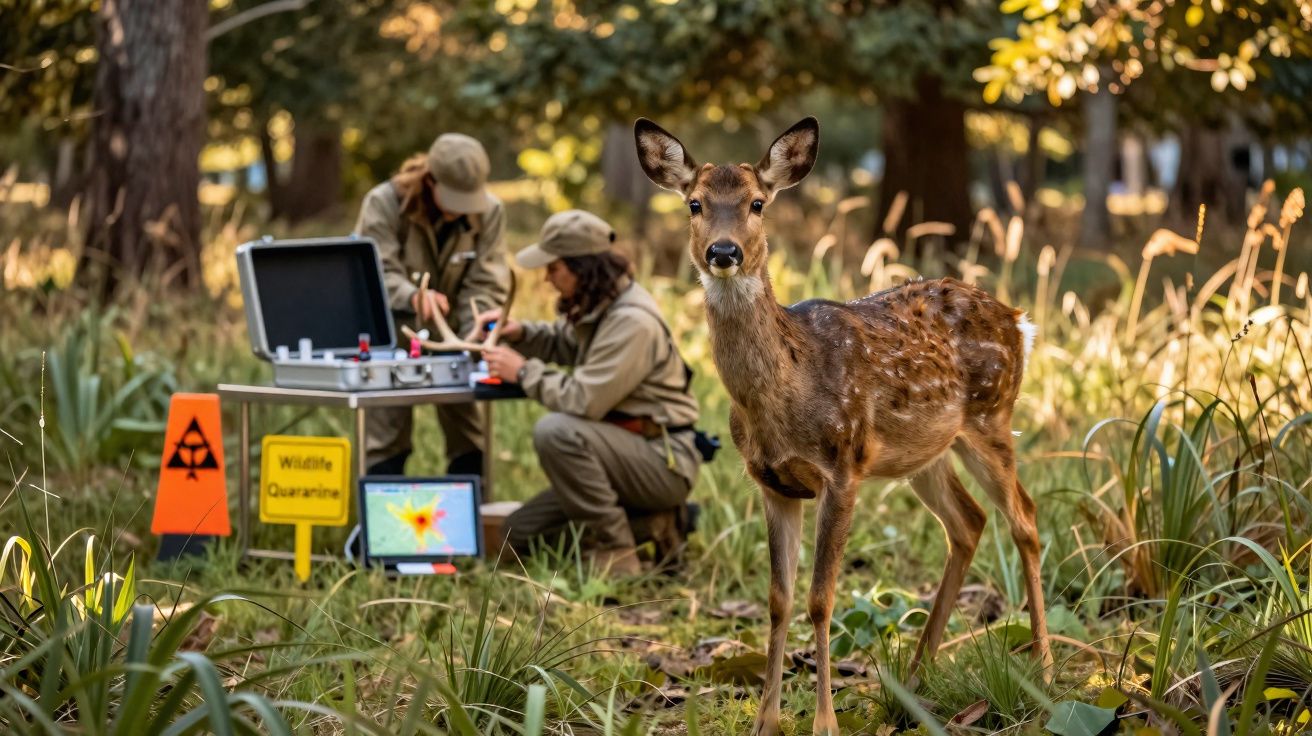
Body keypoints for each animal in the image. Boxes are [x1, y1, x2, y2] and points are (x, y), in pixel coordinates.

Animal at [634, 116, 1050, 736]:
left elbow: (820, 598)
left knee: (1024, 517)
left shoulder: (842, 467)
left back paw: (1043, 667)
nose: (724, 251)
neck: (781, 396)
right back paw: (916, 676)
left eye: (757, 203)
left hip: (991, 416)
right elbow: (779, 598)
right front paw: (766, 720)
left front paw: (824, 721)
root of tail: (1020, 321)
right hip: (925, 452)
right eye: (694, 203)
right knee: (968, 521)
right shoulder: (772, 483)